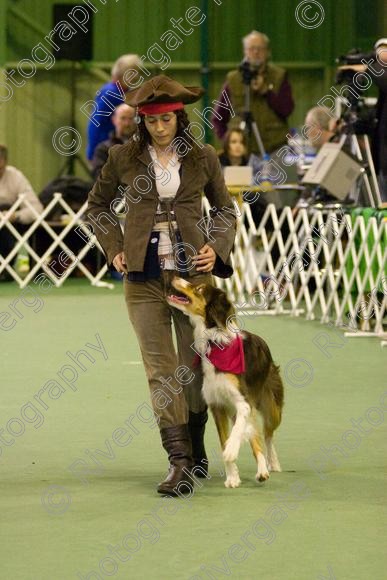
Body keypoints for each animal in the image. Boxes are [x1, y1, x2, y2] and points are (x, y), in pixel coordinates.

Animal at [167, 278, 284, 488]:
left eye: (200, 289)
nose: (174, 277)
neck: (213, 343)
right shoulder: (218, 406)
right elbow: (225, 439)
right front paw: (232, 477)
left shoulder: (243, 402)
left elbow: (236, 432)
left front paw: (231, 450)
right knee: (256, 435)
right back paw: (262, 470)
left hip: (272, 407)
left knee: (267, 434)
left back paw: (270, 464)